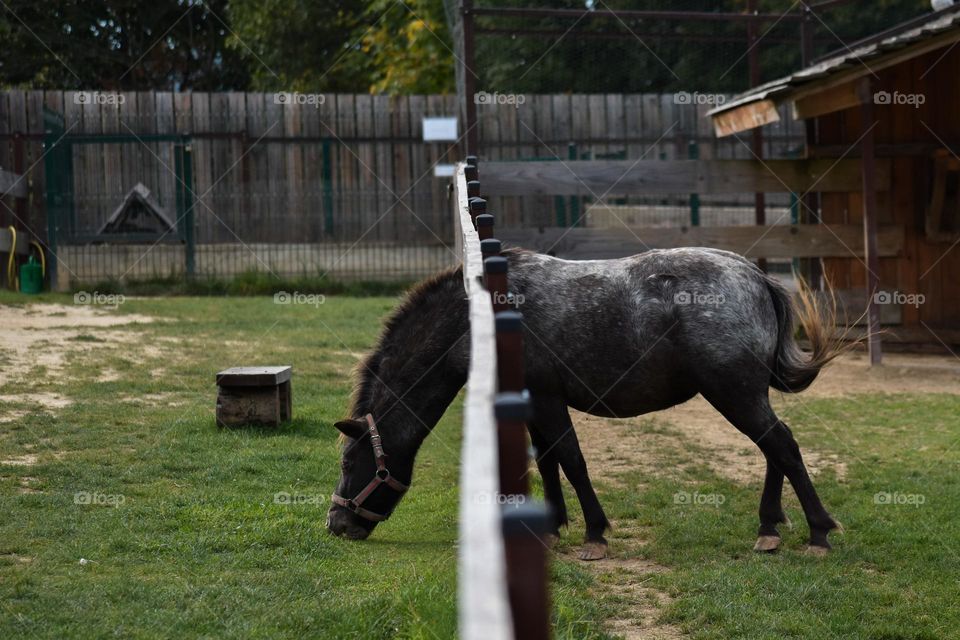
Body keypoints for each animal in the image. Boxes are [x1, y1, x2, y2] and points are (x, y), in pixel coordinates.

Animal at [326, 247, 842, 560]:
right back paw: (769, 527)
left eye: (351, 463)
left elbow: (571, 459)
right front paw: (552, 527)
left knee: (782, 446)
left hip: (733, 393)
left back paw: (818, 531)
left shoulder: (547, 398)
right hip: (744, 395)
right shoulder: (532, 404)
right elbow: (549, 461)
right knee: (773, 448)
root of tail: (756, 275)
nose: (336, 524)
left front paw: (594, 533)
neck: (484, 319)